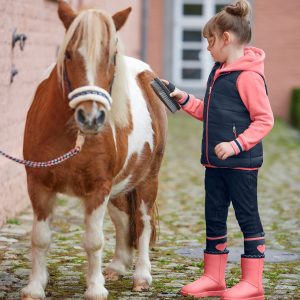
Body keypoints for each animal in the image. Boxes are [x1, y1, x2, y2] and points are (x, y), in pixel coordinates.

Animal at [21, 1, 166, 298]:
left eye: (111, 58)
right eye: (67, 54)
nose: (91, 118)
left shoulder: (98, 187)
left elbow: (93, 240)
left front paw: (95, 289)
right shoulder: (38, 184)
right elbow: (40, 238)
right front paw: (35, 286)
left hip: (148, 180)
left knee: (142, 223)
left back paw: (141, 276)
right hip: (120, 186)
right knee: (123, 219)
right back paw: (117, 267)